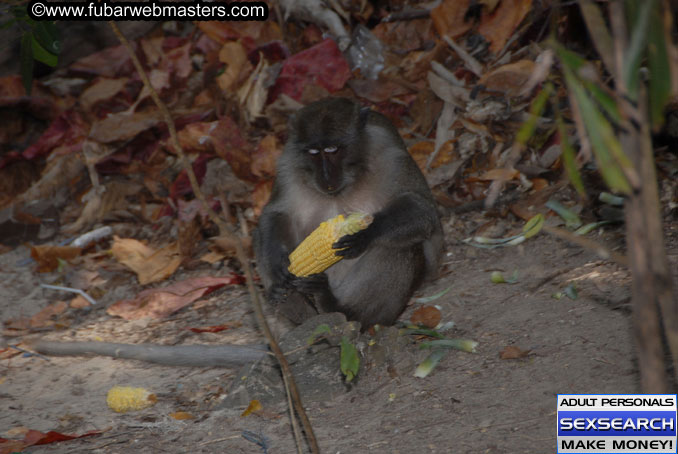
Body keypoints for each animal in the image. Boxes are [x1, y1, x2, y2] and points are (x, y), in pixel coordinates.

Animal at [255, 97, 446, 328]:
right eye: (313, 153)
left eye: (332, 149)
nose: (326, 176)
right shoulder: (287, 164)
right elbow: (276, 212)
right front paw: (277, 265)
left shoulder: (392, 157)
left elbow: (423, 211)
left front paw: (364, 234)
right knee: (260, 240)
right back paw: (297, 309)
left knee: (398, 247)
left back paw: (339, 308)